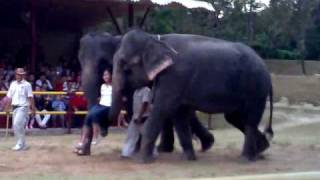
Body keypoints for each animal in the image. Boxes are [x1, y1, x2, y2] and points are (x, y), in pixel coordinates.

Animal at [76, 31, 214, 155]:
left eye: (103, 62)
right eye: (79, 62)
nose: (103, 131)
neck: (116, 38)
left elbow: (131, 106)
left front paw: (136, 150)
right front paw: (81, 151)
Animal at [109, 29, 272, 163]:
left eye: (125, 66)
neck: (156, 38)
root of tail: (266, 68)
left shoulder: (173, 76)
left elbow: (163, 109)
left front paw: (144, 161)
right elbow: (179, 116)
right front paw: (188, 158)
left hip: (255, 89)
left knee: (249, 120)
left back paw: (247, 158)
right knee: (236, 118)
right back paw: (261, 151)